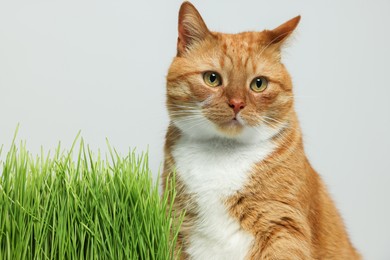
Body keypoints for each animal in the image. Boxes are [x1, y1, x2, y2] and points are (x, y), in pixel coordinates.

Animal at [161, 2, 360, 260]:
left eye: (259, 84)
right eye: (212, 78)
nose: (237, 103)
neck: (222, 154)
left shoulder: (283, 226)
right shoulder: (177, 225)